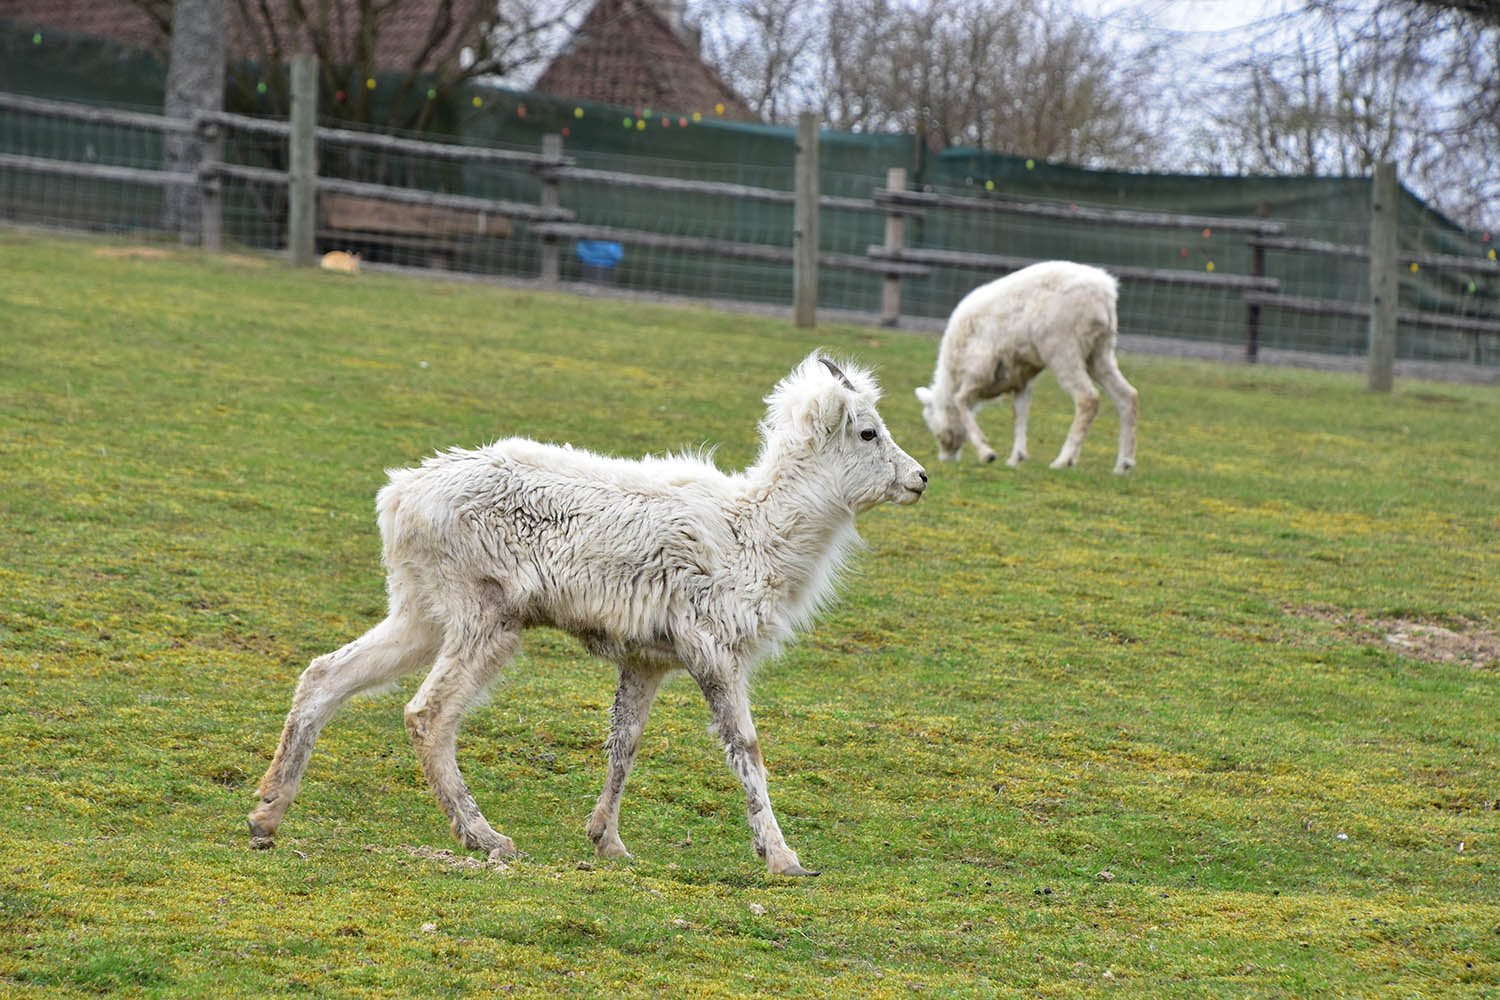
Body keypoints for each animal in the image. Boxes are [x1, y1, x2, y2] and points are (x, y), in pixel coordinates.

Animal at [246, 353, 928, 877]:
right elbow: (746, 748)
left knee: (325, 674)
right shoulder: (714, 651)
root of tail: (397, 498)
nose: (920, 478)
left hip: (420, 611)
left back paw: (264, 815)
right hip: (485, 617)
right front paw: (785, 860)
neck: (758, 534)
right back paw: (487, 839)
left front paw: (610, 845)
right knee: (426, 713)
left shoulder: (648, 660)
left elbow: (623, 743)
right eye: (868, 433)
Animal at [914, 261, 1138, 473]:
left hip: (1063, 349)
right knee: (1127, 395)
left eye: (934, 429)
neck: (952, 374)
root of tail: (1106, 290)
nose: (946, 459)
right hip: (1100, 351)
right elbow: (1020, 412)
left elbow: (960, 401)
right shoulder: (1020, 378)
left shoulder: (979, 369)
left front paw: (987, 453)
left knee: (1088, 398)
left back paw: (1064, 460)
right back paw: (1123, 465)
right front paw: (1016, 459)